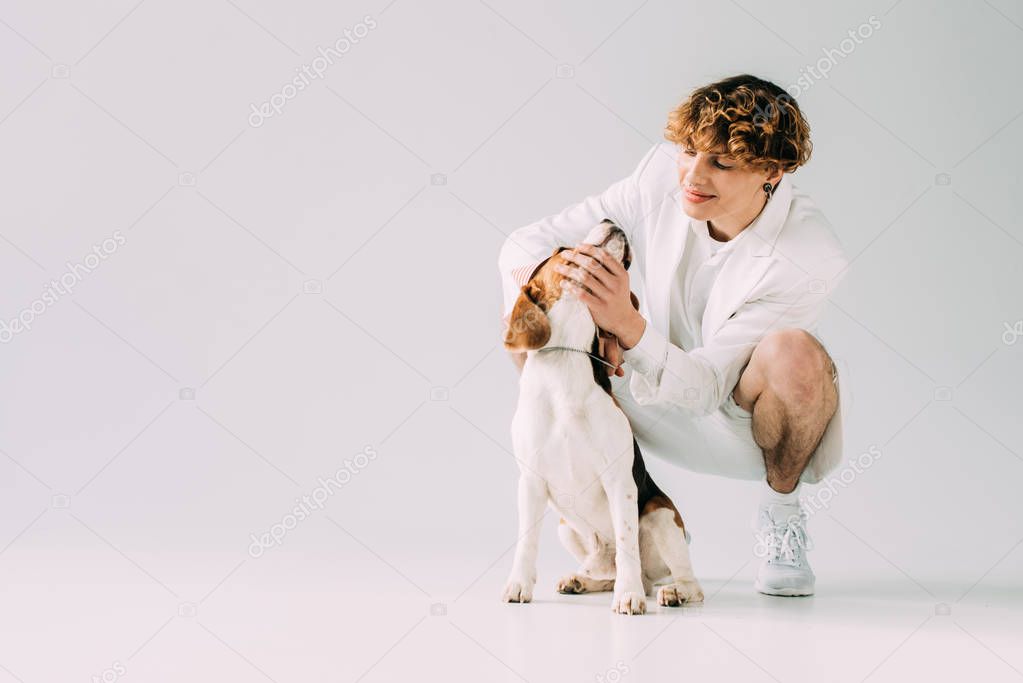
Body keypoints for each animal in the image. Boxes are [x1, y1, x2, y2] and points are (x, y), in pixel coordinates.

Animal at [501, 221, 703, 617]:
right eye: (562, 249)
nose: (610, 220)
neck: (566, 358)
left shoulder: (618, 480)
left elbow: (627, 543)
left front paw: (628, 596)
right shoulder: (530, 481)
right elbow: (526, 541)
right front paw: (518, 584)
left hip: (661, 515)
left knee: (681, 581)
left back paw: (669, 591)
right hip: (566, 526)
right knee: (609, 570)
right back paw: (582, 580)